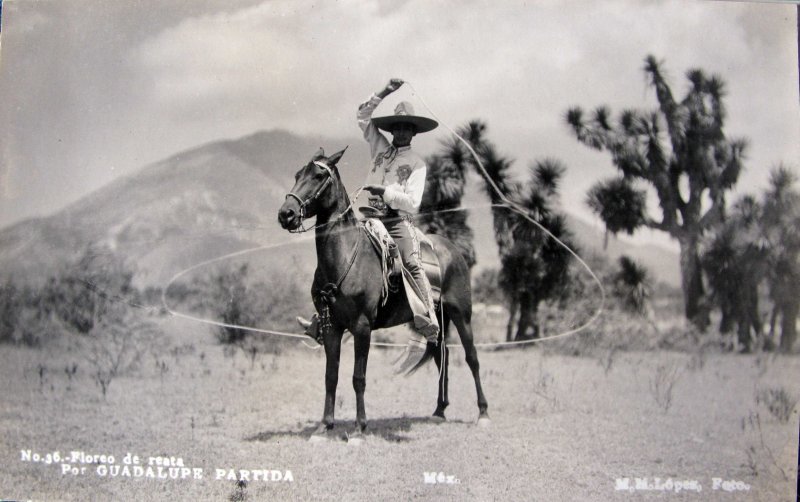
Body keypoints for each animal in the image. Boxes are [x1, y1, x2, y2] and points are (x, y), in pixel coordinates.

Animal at [278, 147, 490, 442]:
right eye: (298, 174)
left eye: (319, 175)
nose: (286, 214)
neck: (345, 257)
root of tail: (453, 250)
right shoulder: (332, 327)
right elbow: (331, 376)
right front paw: (324, 426)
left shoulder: (362, 327)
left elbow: (358, 377)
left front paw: (359, 428)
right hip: (437, 319)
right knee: (441, 356)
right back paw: (439, 411)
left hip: (462, 314)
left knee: (472, 358)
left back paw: (483, 413)